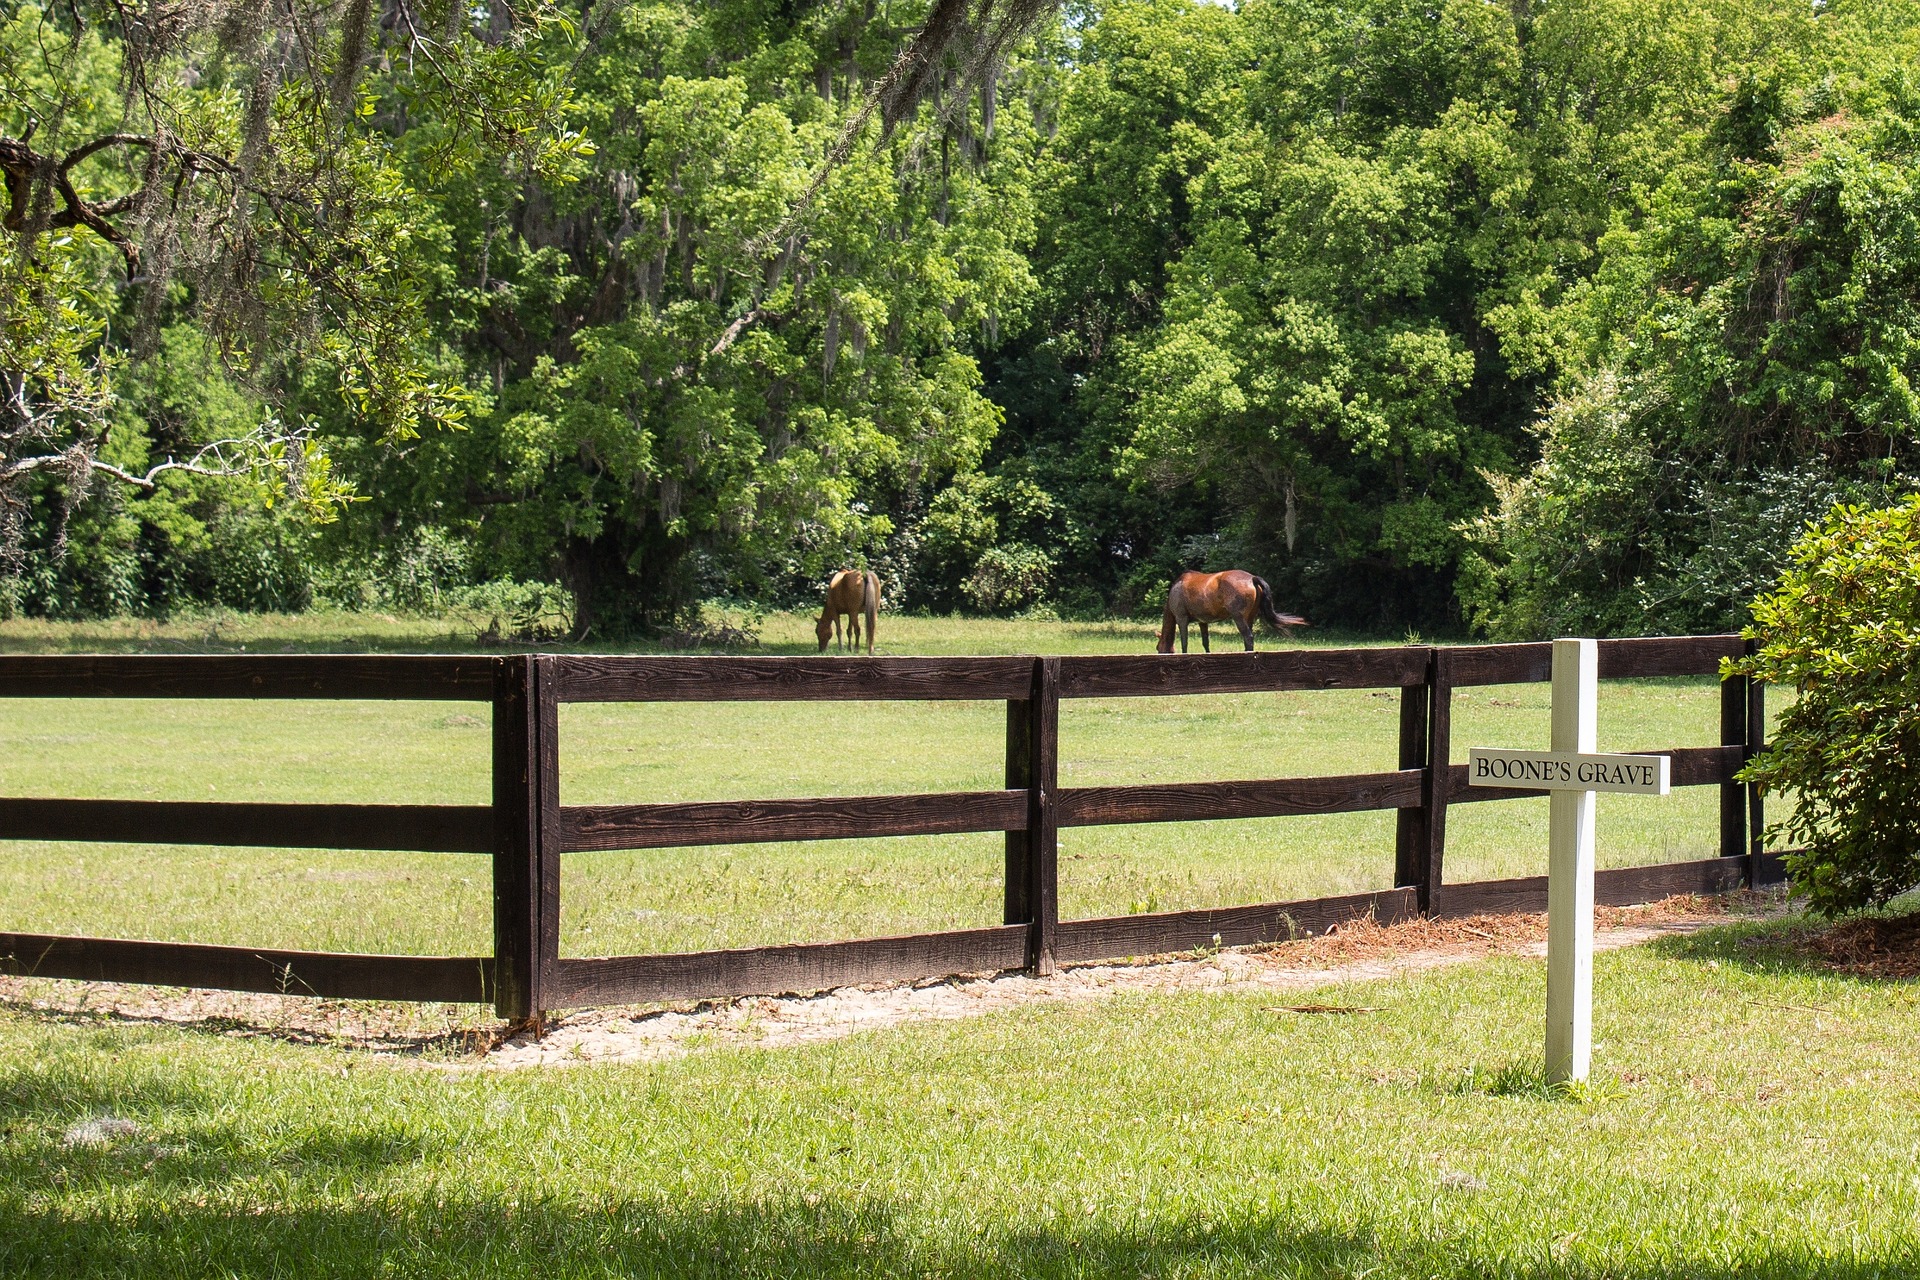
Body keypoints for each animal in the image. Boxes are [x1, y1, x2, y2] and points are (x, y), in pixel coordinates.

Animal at [1152, 568, 1305, 652]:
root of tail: (1252, 578)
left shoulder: (1181, 619)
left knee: (1248, 637)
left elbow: (1184, 643)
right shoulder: (1203, 622)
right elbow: (1205, 643)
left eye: (1158, 648)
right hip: (1249, 618)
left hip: (1239, 618)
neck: (1177, 588)